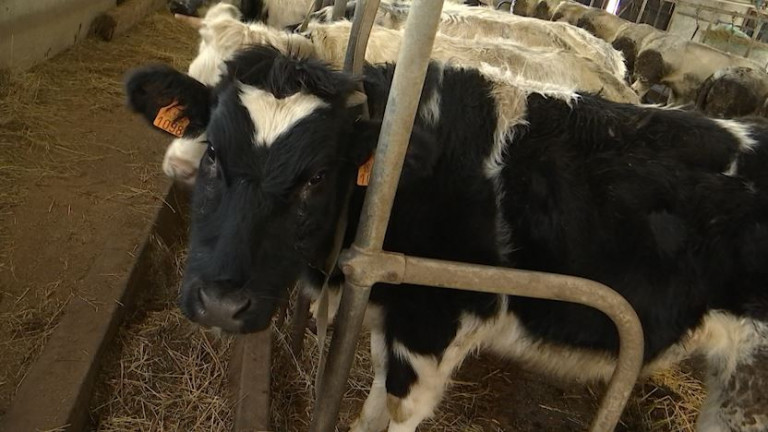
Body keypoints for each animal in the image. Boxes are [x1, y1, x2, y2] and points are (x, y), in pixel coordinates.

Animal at [126, 45, 768, 430]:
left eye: (317, 177)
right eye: (212, 152)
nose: (220, 303)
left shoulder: (436, 322)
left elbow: (395, 413)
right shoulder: (392, 317)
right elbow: (370, 407)